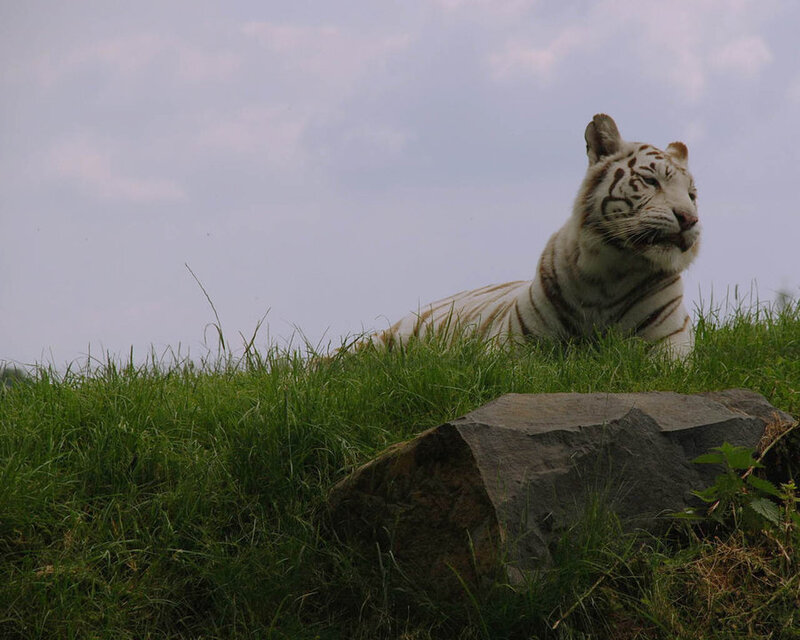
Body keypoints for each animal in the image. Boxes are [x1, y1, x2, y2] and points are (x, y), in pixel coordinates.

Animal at [370, 114, 701, 358]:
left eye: (692, 195)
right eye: (650, 181)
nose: (689, 219)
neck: (611, 275)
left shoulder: (670, 346)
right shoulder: (513, 345)